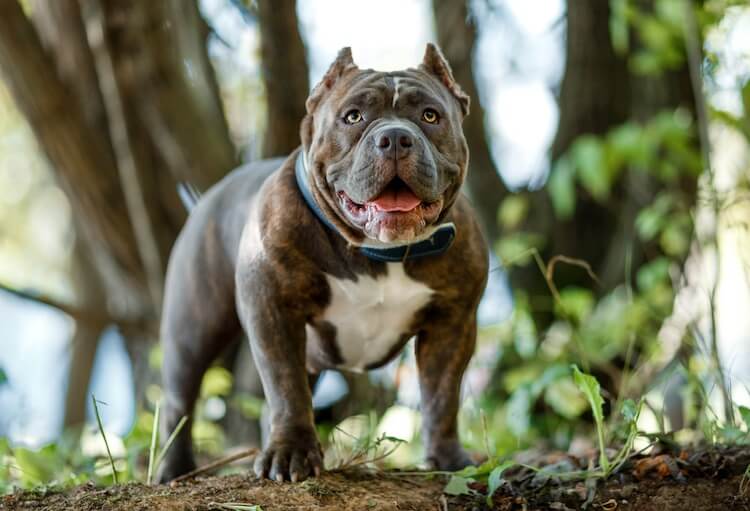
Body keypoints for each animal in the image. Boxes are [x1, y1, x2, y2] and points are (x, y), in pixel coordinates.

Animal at [156, 44, 490, 484]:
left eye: (431, 116)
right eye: (353, 117)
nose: (394, 137)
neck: (377, 252)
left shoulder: (452, 324)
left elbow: (442, 395)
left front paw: (448, 459)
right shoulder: (273, 310)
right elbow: (286, 386)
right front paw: (290, 453)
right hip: (193, 328)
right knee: (180, 400)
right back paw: (173, 470)